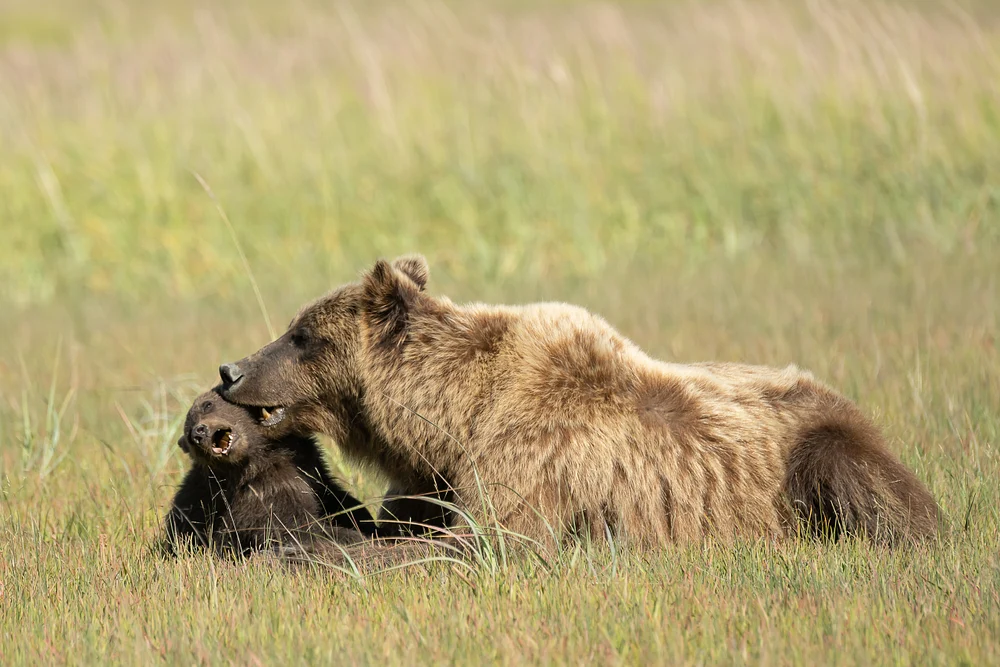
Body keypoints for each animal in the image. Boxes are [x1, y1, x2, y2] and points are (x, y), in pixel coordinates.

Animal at [163, 388, 379, 557]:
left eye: (207, 405)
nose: (198, 432)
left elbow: (339, 500)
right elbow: (293, 527)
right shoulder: (267, 489)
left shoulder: (311, 468)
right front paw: (356, 537)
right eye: (188, 433)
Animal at [216, 254, 940, 549]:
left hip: (815, 443)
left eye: (300, 335)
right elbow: (397, 522)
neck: (452, 417)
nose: (231, 368)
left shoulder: (533, 454)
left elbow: (478, 540)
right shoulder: (432, 475)